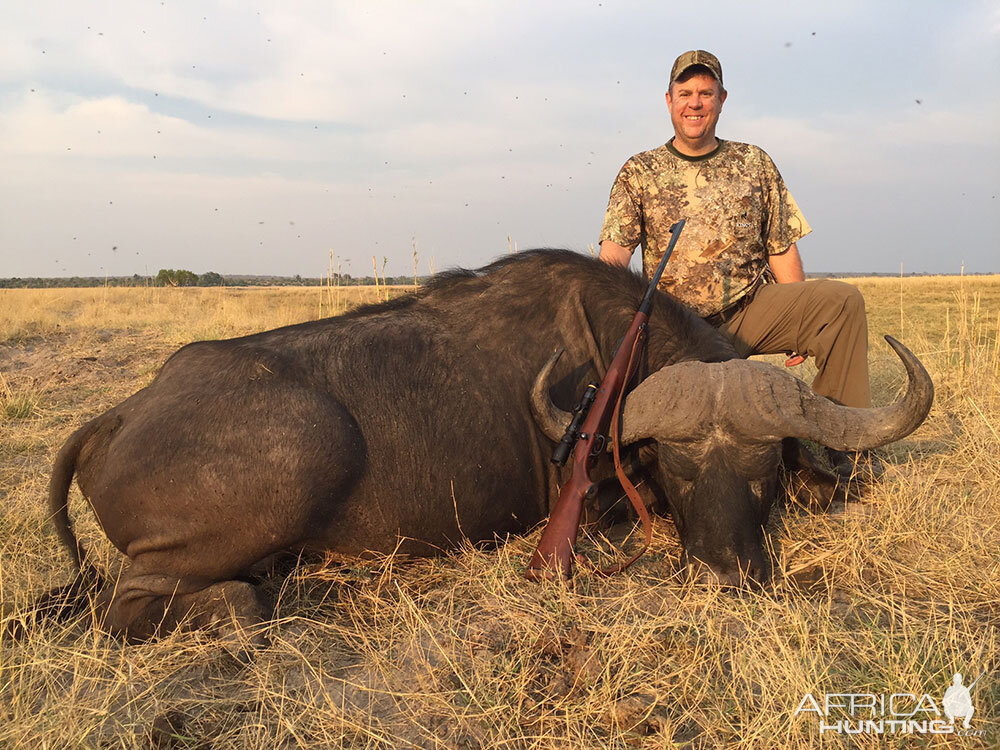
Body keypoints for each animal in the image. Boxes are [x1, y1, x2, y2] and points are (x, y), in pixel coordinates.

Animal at [43, 250, 932, 636]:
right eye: (679, 471)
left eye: (764, 469)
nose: (725, 573)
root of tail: (119, 416)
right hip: (296, 463)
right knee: (152, 607)